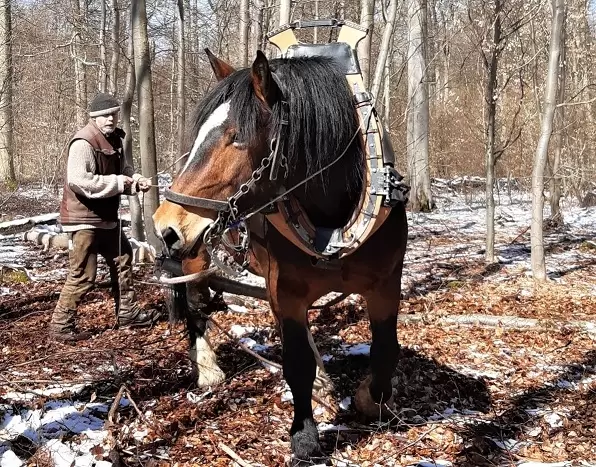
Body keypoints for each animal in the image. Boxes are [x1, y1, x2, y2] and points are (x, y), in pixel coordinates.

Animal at [151, 49, 408, 466]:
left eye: (238, 138)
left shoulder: (386, 285)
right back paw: (206, 367)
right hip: (194, 256)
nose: (166, 225)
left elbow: (386, 349)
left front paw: (371, 399)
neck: (332, 221)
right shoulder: (286, 292)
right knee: (196, 304)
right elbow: (297, 362)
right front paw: (304, 436)